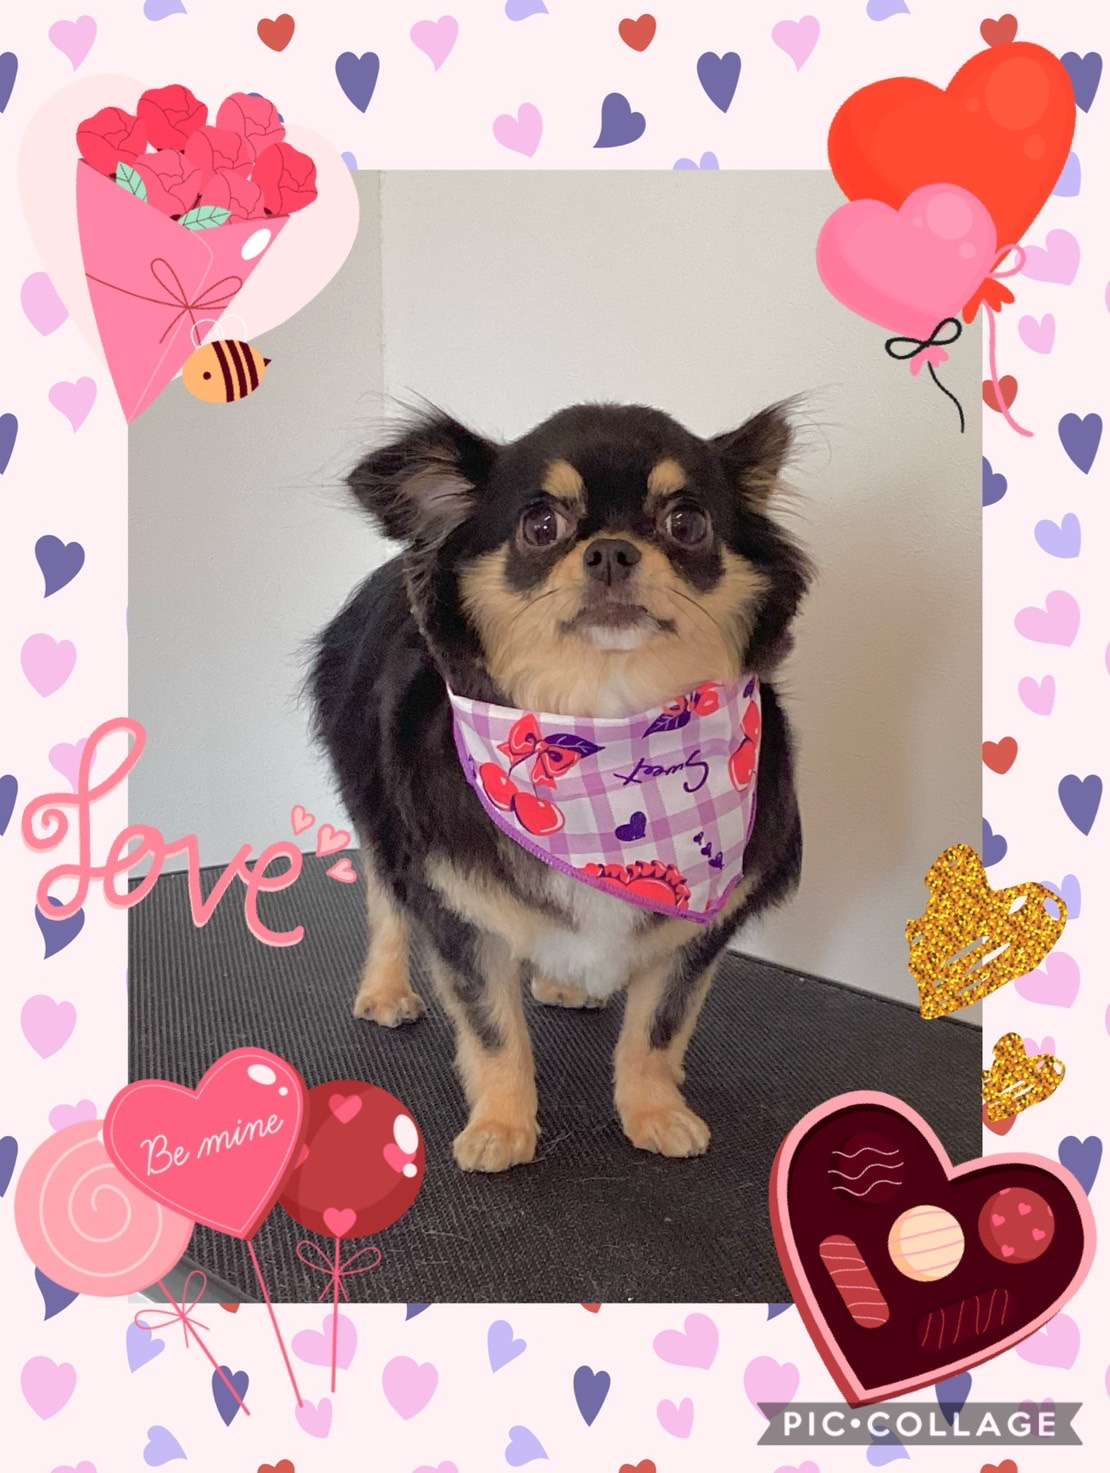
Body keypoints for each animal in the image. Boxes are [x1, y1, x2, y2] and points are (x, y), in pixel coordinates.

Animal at [310, 400, 812, 1171]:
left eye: (687, 522)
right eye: (541, 525)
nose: (611, 551)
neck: (610, 724)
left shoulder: (697, 934)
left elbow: (657, 1030)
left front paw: (654, 1111)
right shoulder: (459, 905)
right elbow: (493, 1030)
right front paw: (501, 1126)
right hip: (378, 812)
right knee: (387, 904)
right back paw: (386, 990)